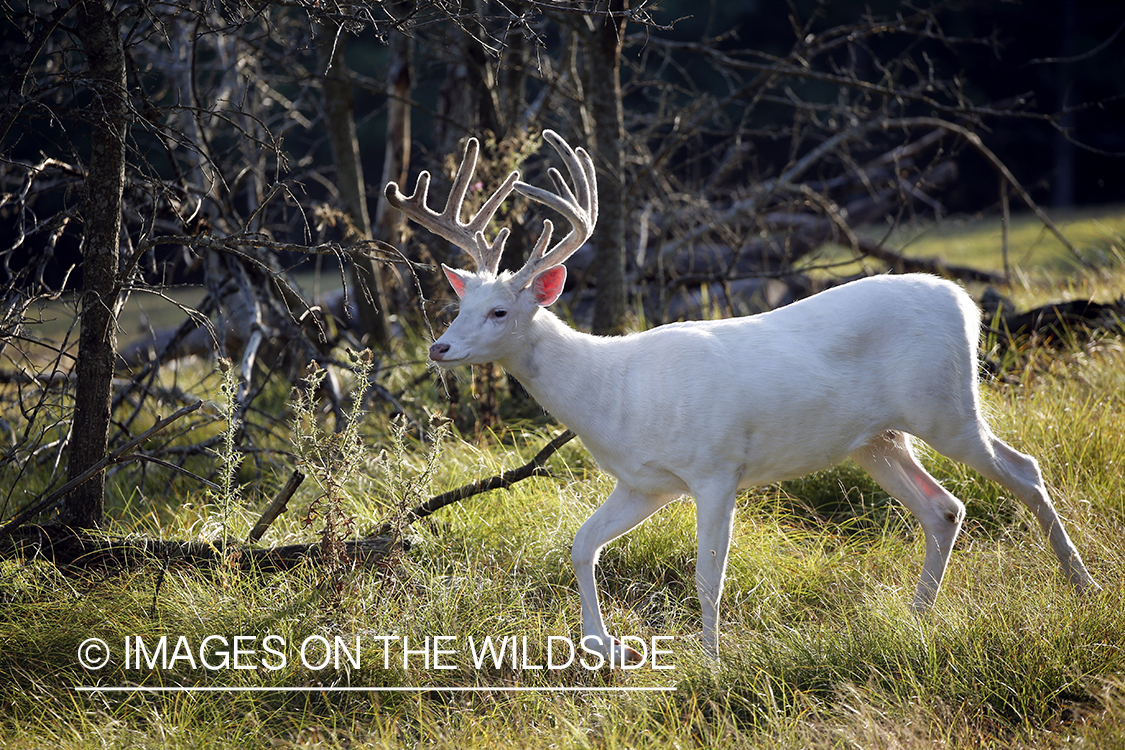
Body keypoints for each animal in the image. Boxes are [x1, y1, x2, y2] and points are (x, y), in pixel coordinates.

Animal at [384, 130, 1098, 661]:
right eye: (459, 303)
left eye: (500, 311)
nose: (439, 348)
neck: (613, 392)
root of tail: (967, 304)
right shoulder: (644, 481)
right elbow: (582, 544)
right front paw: (607, 648)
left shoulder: (715, 466)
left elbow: (708, 576)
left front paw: (711, 663)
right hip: (876, 439)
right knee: (943, 507)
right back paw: (915, 615)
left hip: (945, 405)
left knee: (1023, 469)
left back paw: (1081, 585)